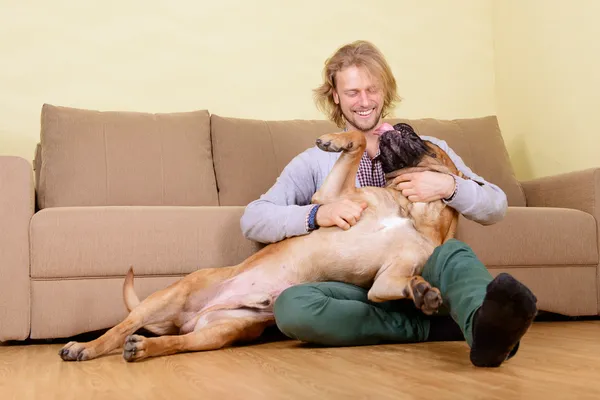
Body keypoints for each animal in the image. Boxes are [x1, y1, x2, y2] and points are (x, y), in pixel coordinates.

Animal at [59, 123, 464, 360]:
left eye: (421, 141)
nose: (402, 125)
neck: (410, 209)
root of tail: (187, 319)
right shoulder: (333, 197)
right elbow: (358, 139)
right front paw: (334, 139)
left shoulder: (386, 281)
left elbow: (403, 282)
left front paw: (423, 292)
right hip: (167, 297)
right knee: (117, 330)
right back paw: (85, 347)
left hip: (219, 332)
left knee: (174, 343)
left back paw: (144, 347)